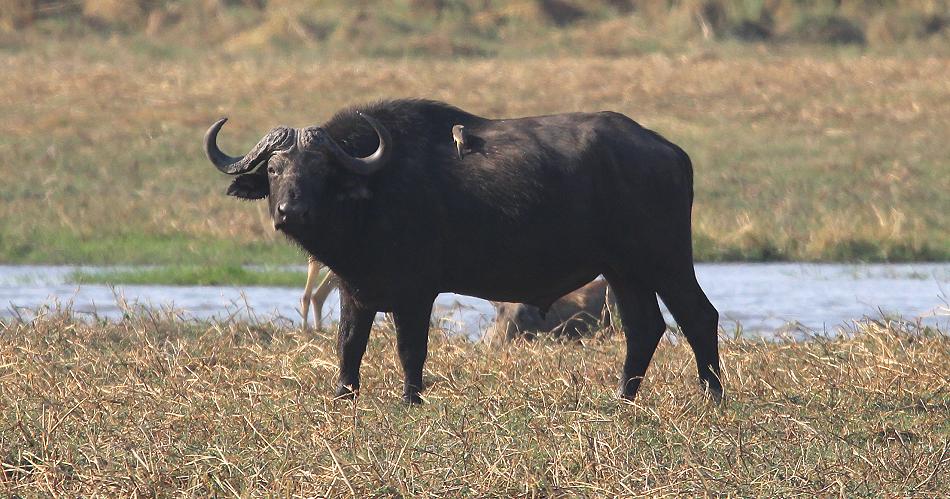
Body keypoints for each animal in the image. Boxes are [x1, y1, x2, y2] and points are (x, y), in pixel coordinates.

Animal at [203, 99, 720, 404]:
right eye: (274, 170)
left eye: (320, 169)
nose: (290, 211)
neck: (374, 193)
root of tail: (670, 152)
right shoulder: (354, 290)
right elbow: (348, 346)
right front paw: (343, 399)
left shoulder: (415, 293)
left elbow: (411, 349)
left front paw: (411, 402)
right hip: (623, 271)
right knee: (644, 328)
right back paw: (622, 400)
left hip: (666, 259)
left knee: (699, 316)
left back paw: (712, 397)